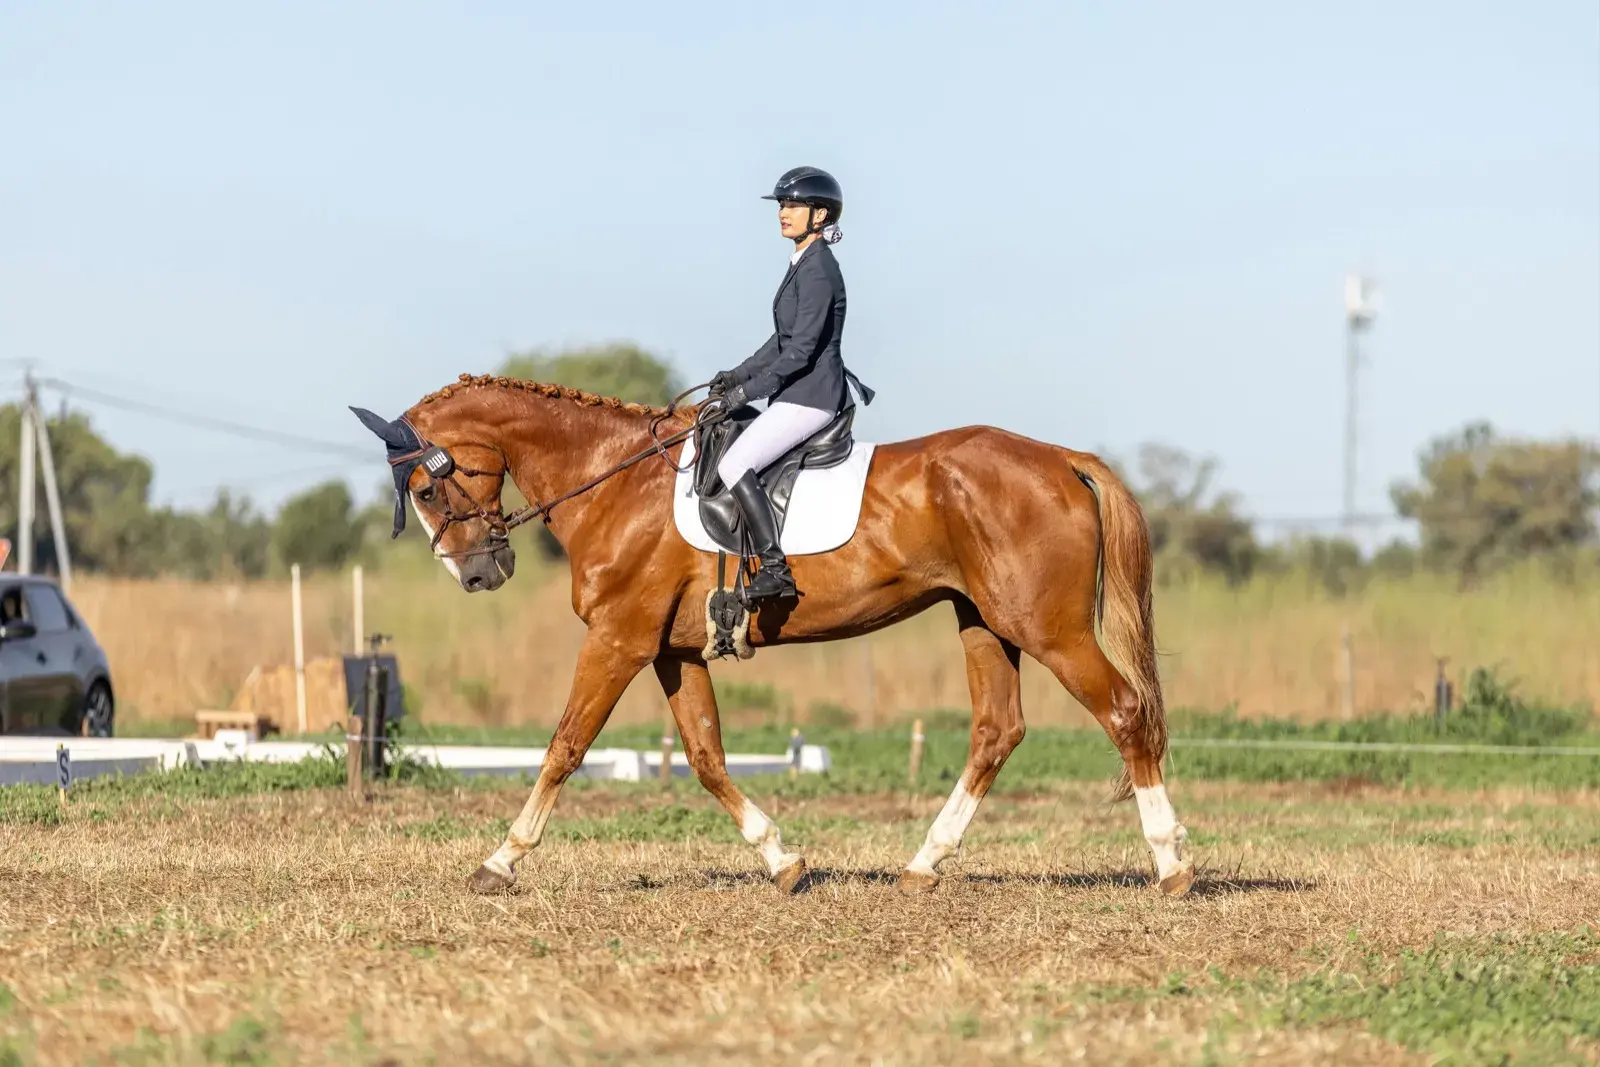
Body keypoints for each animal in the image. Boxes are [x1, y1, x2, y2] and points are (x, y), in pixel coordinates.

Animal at [350, 373, 1194, 898]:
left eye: (426, 487)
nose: (478, 572)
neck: (617, 479)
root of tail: (1062, 458)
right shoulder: (672, 651)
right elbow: (706, 757)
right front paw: (783, 859)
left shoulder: (619, 641)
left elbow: (565, 746)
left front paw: (499, 862)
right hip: (984, 621)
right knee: (997, 730)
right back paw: (923, 864)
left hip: (1045, 626)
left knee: (1124, 712)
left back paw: (1172, 863)